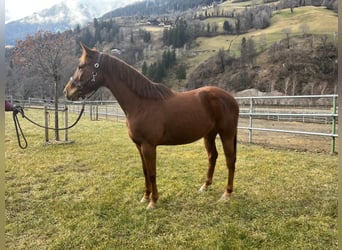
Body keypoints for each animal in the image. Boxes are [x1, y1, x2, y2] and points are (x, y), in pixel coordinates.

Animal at [65, 43, 240, 209]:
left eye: (81, 66)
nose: (67, 91)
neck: (141, 104)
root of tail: (231, 98)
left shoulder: (149, 146)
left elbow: (152, 173)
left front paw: (153, 201)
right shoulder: (139, 145)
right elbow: (145, 171)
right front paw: (145, 197)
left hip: (226, 134)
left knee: (230, 160)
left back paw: (227, 193)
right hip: (209, 134)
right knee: (212, 156)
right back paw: (205, 186)